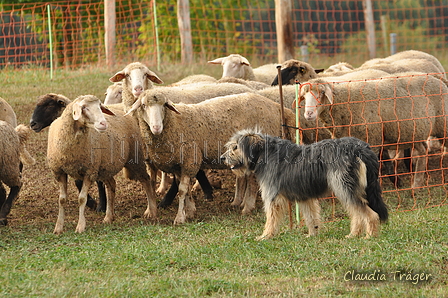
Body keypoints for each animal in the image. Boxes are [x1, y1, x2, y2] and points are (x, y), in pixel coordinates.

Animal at [47, 95, 158, 235]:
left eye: (100, 107)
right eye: (84, 107)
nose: (103, 124)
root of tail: (126, 113)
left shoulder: (89, 171)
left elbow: (82, 198)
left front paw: (80, 226)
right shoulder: (59, 172)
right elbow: (61, 200)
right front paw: (58, 228)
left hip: (135, 158)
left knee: (146, 180)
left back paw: (152, 211)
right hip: (105, 167)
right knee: (111, 185)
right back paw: (109, 217)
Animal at [126, 92, 300, 222]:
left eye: (164, 106)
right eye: (143, 106)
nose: (156, 127)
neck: (176, 123)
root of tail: (277, 107)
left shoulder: (190, 159)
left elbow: (182, 190)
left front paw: (180, 217)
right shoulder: (178, 165)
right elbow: (186, 190)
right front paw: (190, 211)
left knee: (252, 182)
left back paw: (247, 207)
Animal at [220, 129, 388, 240]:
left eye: (235, 147)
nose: (222, 158)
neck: (264, 153)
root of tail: (360, 148)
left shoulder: (272, 197)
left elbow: (271, 219)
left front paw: (265, 236)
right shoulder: (305, 197)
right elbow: (311, 218)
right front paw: (312, 235)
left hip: (344, 187)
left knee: (370, 214)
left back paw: (369, 236)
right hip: (350, 189)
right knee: (358, 213)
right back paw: (353, 234)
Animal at [300, 72, 448, 187]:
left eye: (321, 93)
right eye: (305, 96)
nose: (308, 114)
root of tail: (437, 79)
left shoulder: (372, 139)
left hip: (442, 126)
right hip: (413, 132)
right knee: (423, 150)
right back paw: (416, 185)